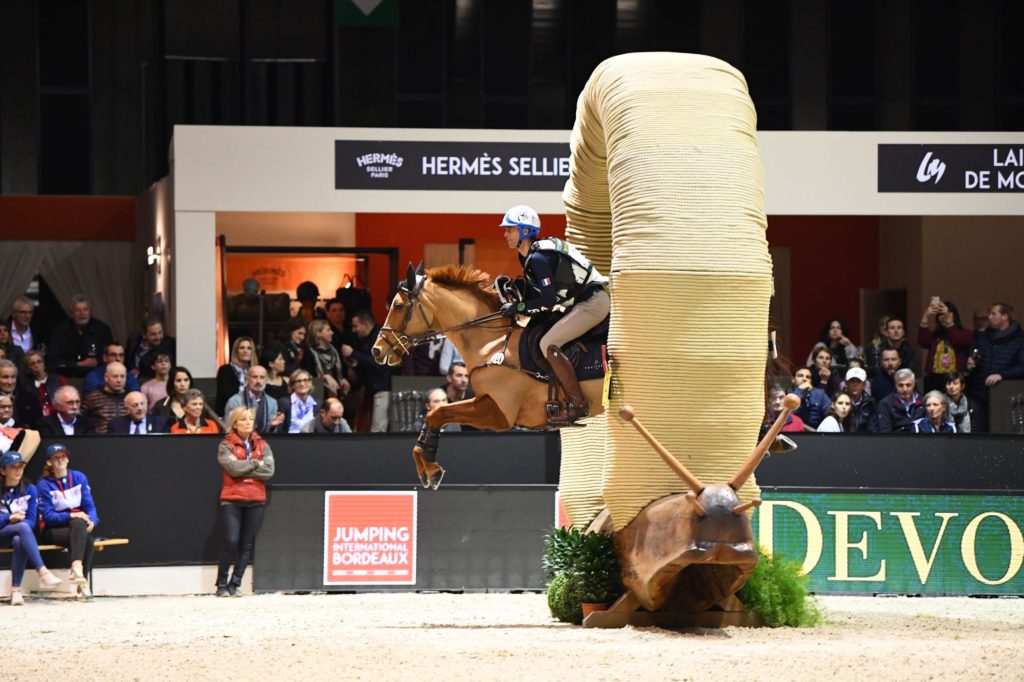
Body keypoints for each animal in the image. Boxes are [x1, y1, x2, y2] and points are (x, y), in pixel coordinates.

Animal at [370, 261, 602, 489]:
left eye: (398, 306)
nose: (377, 350)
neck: (492, 343)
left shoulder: (499, 413)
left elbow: (439, 413)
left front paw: (430, 465)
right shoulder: (482, 401)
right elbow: (434, 413)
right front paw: (425, 463)